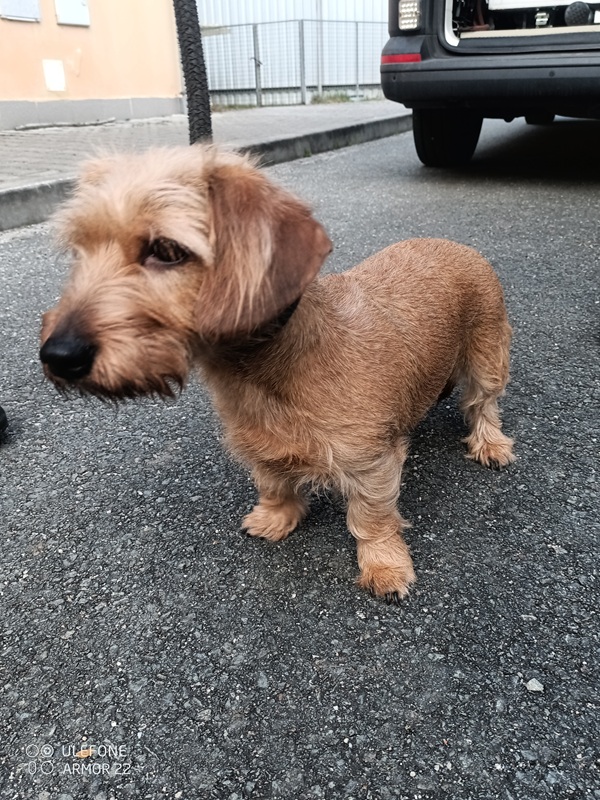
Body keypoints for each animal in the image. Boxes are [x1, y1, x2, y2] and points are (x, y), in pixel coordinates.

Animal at [40, 144, 515, 603]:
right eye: (78, 251)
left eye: (167, 250)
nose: (57, 355)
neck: (266, 367)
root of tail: (459, 246)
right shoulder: (258, 444)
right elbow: (274, 483)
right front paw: (276, 517)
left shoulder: (372, 464)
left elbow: (372, 517)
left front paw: (384, 565)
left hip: (487, 355)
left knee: (483, 405)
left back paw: (490, 444)